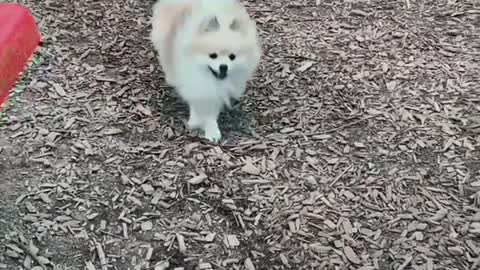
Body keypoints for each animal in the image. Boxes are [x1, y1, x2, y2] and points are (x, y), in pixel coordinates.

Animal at [150, 0, 262, 143]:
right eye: (213, 55)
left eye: (232, 57)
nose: (223, 66)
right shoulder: (195, 82)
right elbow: (198, 102)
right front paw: (196, 121)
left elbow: (211, 112)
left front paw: (212, 130)